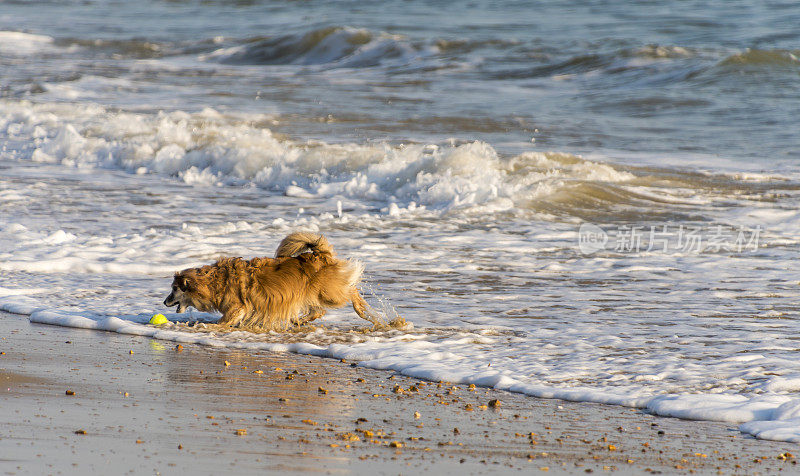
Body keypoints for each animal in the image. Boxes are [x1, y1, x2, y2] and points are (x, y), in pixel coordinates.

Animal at [162, 231, 382, 330]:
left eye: (174, 289)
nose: (164, 302)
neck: (215, 281)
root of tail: (320, 255)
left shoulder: (237, 307)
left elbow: (223, 321)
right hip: (312, 294)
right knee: (318, 311)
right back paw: (298, 320)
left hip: (328, 292)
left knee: (350, 291)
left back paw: (364, 311)